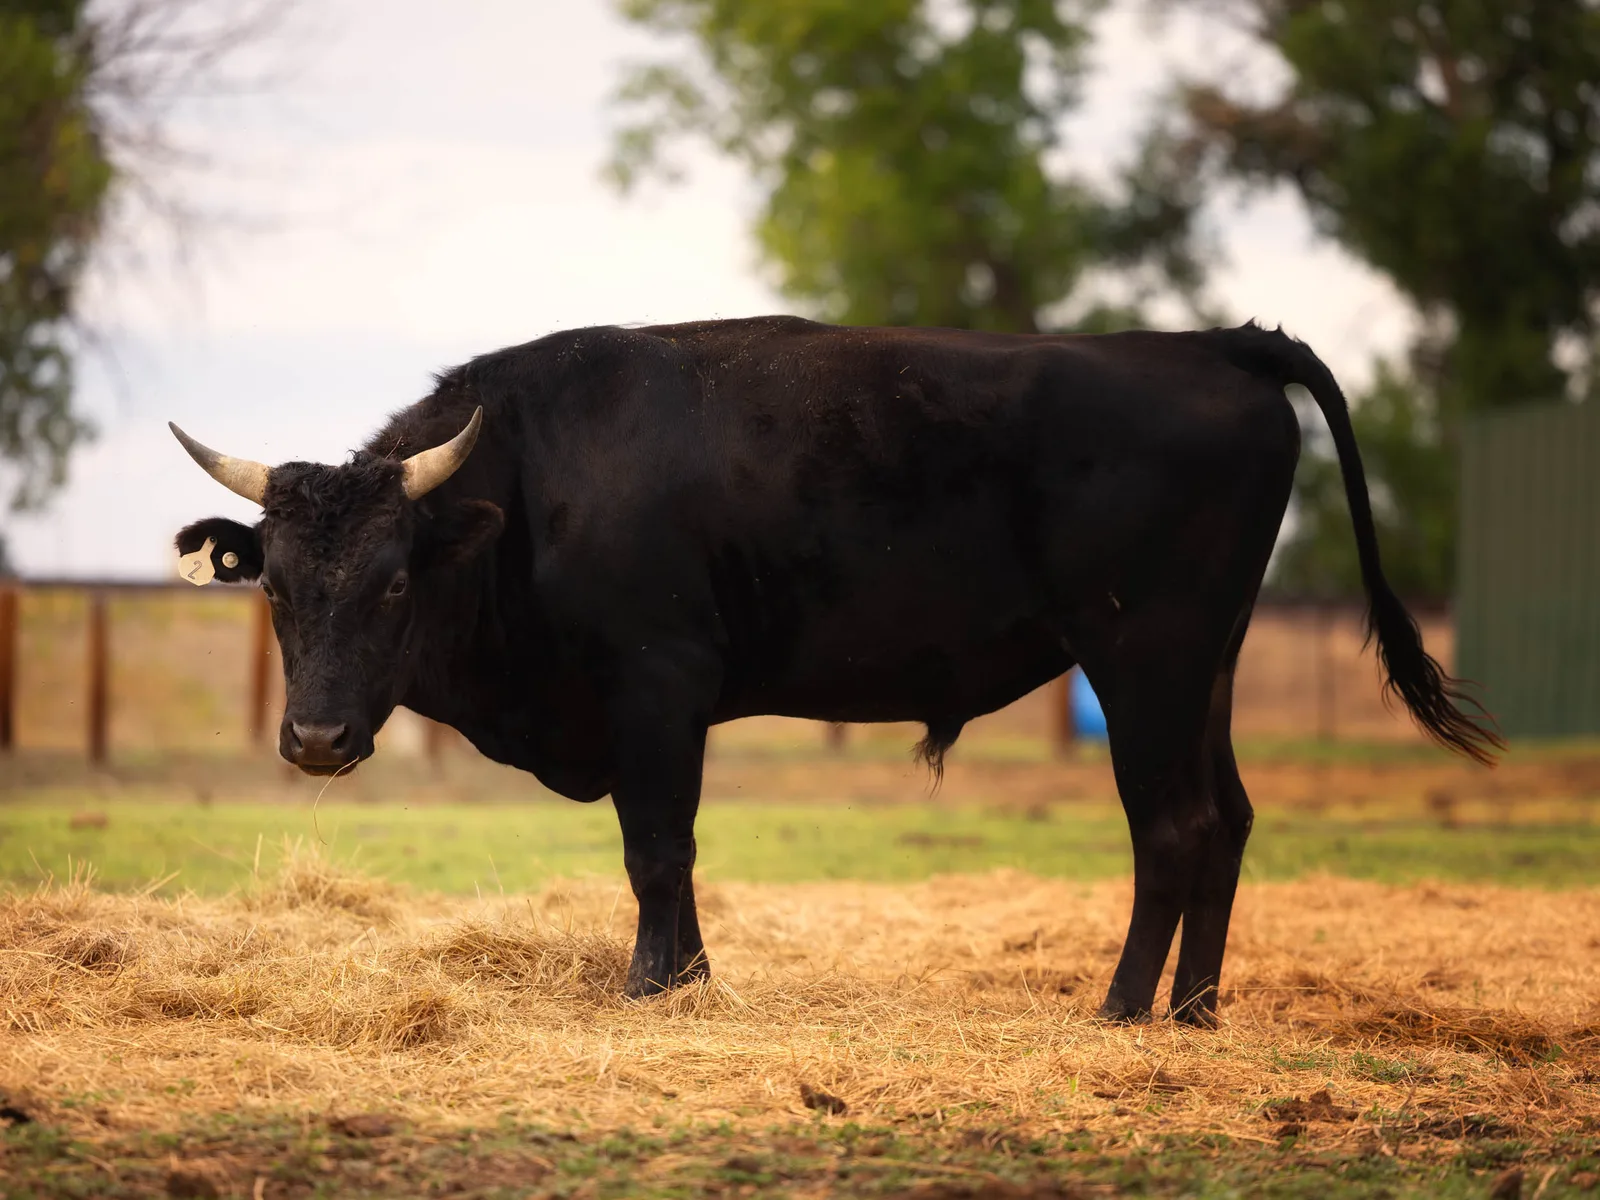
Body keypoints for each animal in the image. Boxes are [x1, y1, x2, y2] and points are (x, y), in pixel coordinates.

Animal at [171, 316, 1499, 1023]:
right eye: (276, 588)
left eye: (395, 582)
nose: (316, 743)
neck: (540, 479)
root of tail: (1212, 346)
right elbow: (665, 856)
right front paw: (685, 979)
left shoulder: (657, 685)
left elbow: (657, 850)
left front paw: (657, 988)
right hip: (1203, 669)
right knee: (1225, 820)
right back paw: (1194, 1010)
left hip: (1144, 664)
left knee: (1172, 828)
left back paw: (1123, 1008)